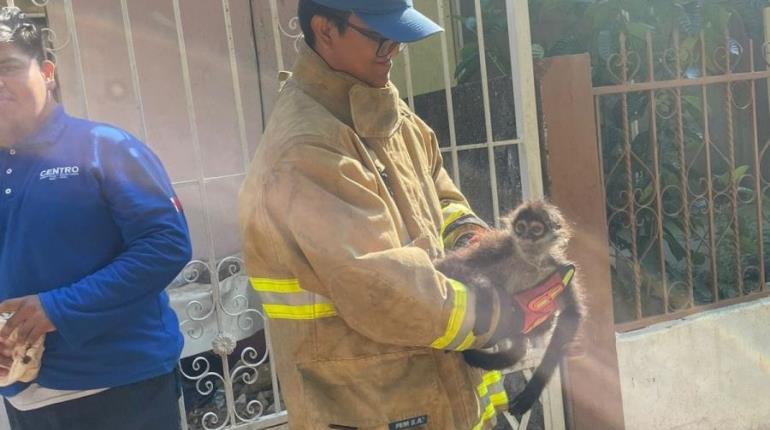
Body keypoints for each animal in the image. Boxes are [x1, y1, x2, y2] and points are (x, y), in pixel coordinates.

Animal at [432, 200, 584, 414]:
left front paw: (533, 389)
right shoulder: (500, 246)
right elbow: (443, 265)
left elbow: (571, 315)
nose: (525, 236)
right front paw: (485, 289)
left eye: (536, 229)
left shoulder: (557, 267)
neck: (529, 261)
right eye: (520, 227)